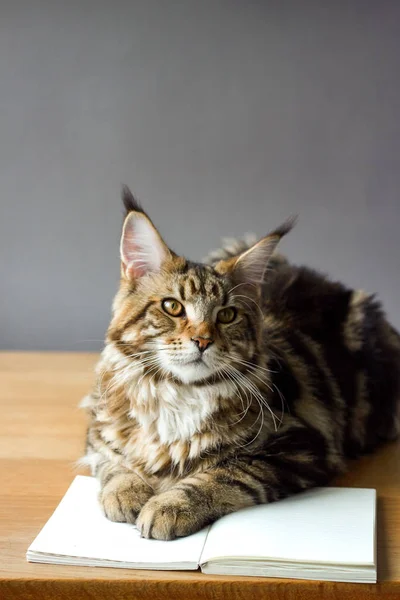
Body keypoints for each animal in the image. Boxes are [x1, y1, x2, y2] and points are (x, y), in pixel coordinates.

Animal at [79, 188, 400, 540]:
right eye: (173, 307)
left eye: (227, 315)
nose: (203, 341)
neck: (179, 394)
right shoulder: (98, 427)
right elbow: (112, 463)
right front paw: (126, 491)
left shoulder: (299, 446)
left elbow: (224, 474)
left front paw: (169, 506)